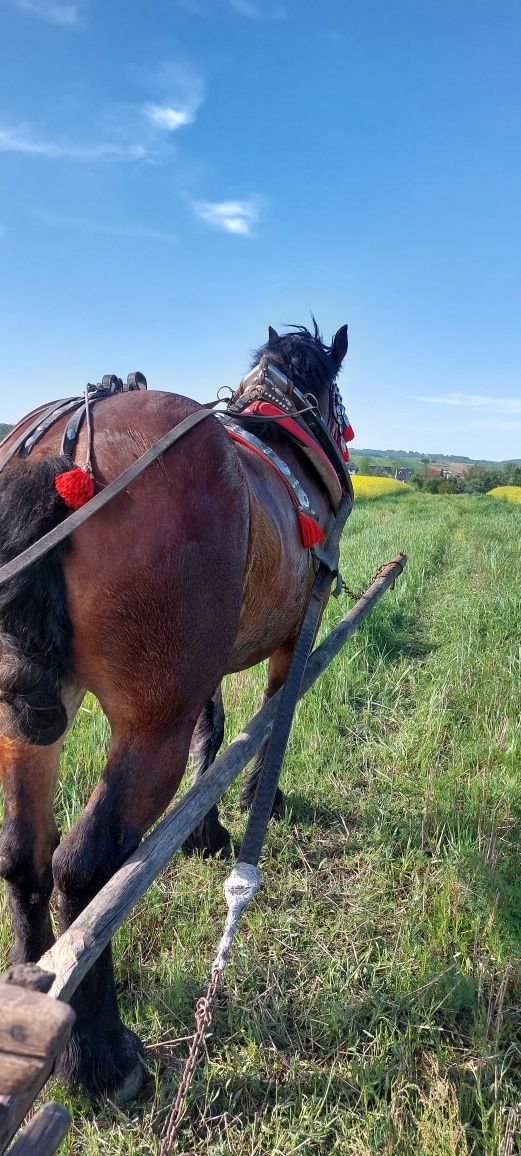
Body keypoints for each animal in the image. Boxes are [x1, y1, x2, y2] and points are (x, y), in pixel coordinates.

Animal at [0, 319, 355, 1100]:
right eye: (337, 398)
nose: (343, 438)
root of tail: (57, 451)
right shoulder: (297, 631)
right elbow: (266, 726)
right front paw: (257, 803)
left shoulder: (208, 665)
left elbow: (213, 734)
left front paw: (206, 827)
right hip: (147, 721)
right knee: (84, 869)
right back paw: (99, 1056)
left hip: (24, 724)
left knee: (24, 857)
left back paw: (34, 1003)